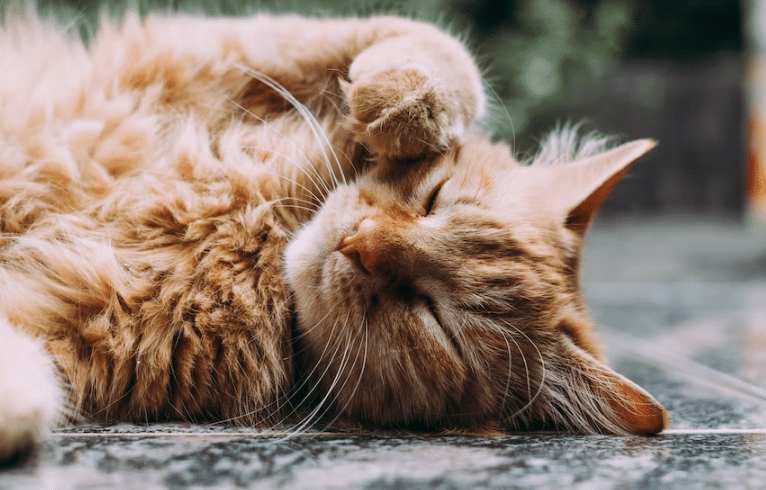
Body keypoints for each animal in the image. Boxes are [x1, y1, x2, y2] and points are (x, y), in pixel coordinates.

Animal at [0, 9, 668, 464]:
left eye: (436, 321)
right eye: (434, 198)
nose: (359, 244)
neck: (261, 234)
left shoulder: (74, 336)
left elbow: (33, 382)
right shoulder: (201, 57)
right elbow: (438, 47)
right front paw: (399, 103)